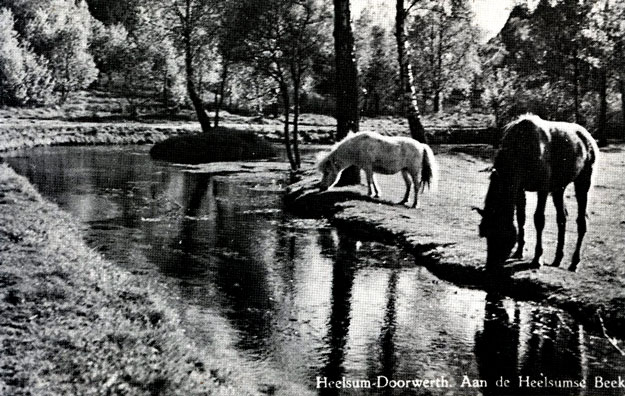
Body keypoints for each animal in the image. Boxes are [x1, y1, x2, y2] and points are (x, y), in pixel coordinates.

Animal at [476, 113, 596, 270]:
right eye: (485, 234)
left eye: (501, 234)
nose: (490, 265)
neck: (522, 148)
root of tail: (586, 136)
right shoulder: (520, 189)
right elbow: (521, 218)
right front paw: (519, 252)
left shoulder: (542, 189)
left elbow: (539, 220)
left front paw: (537, 259)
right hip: (558, 188)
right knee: (561, 218)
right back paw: (558, 258)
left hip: (583, 181)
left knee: (581, 221)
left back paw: (574, 262)